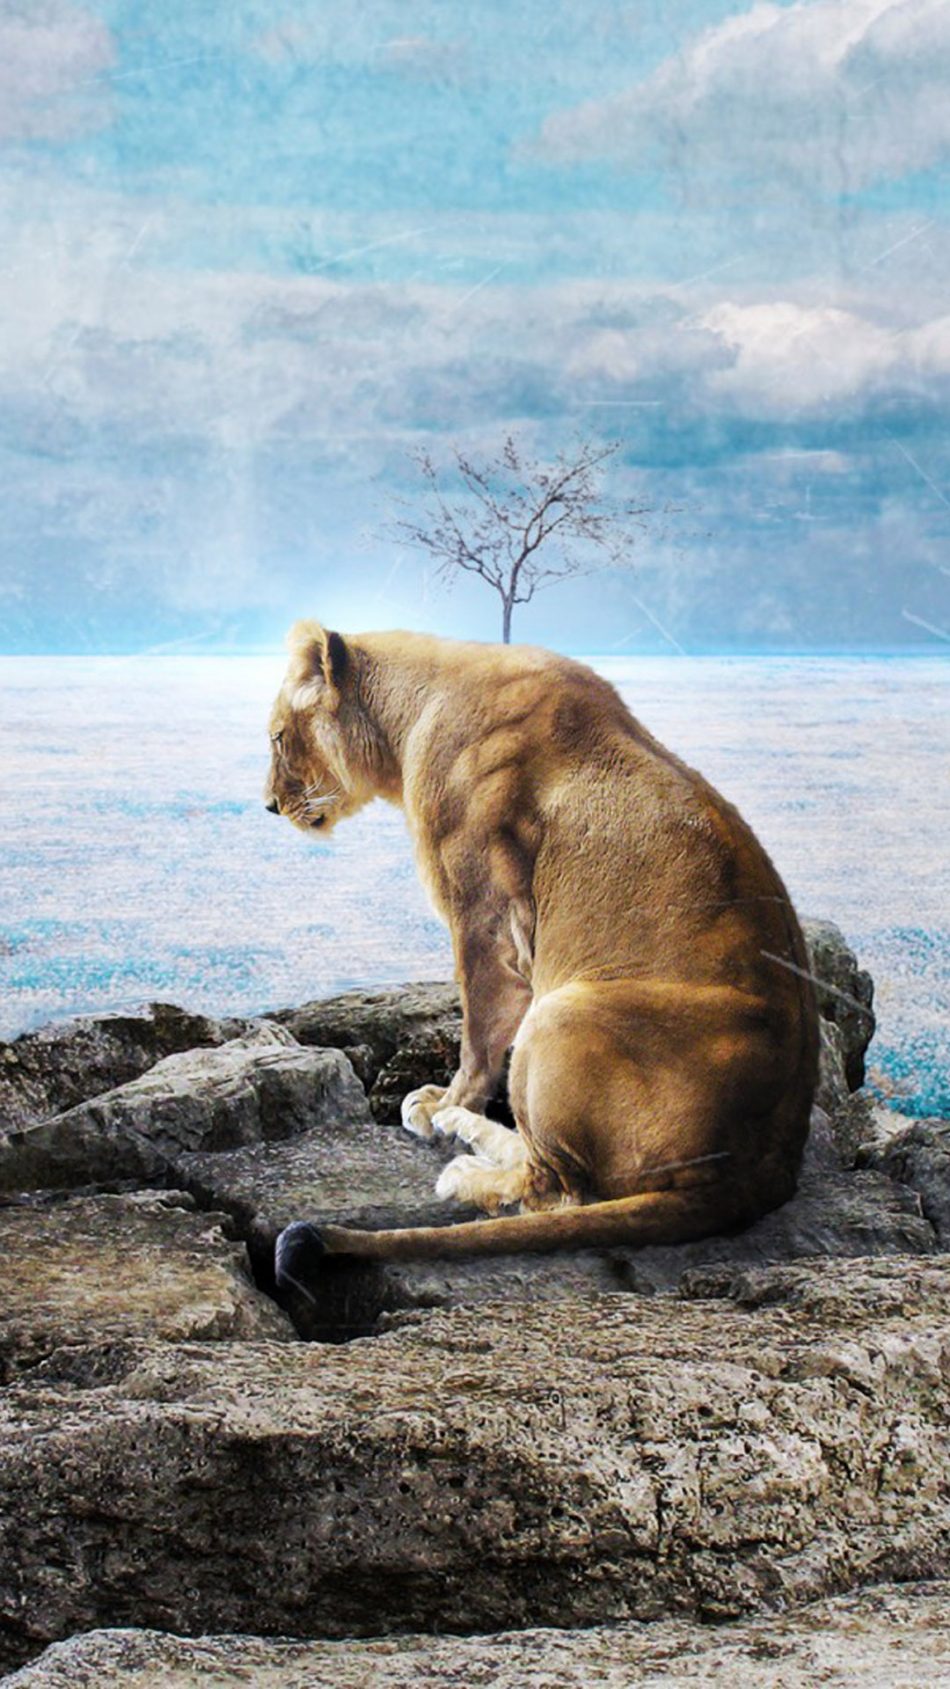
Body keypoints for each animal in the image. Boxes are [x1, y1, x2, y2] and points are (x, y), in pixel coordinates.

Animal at [267, 621, 818, 1275]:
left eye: (278, 737)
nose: (269, 806)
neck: (409, 711)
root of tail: (759, 1171)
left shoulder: (482, 915)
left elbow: (479, 1031)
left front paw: (447, 1099)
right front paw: (447, 1102)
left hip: (560, 1013)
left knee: (554, 1187)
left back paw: (463, 1154)